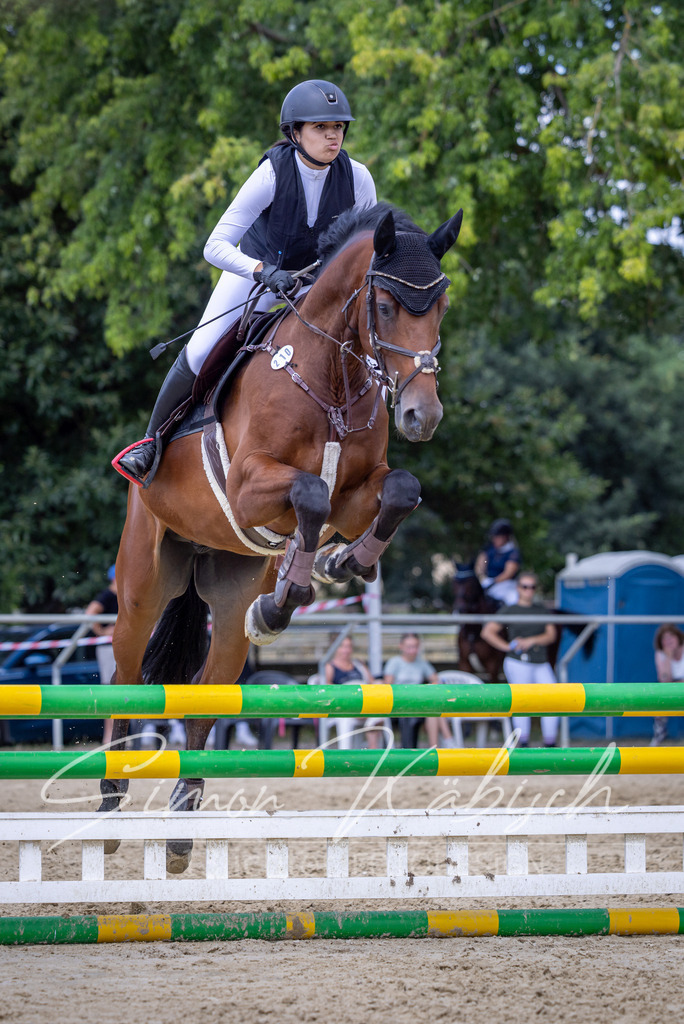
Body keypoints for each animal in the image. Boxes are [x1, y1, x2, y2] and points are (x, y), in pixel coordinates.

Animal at [102, 202, 463, 872]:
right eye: (384, 306)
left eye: (442, 306)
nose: (420, 417)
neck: (333, 373)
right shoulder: (250, 485)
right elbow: (309, 494)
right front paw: (299, 589)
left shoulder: (358, 495)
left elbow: (398, 489)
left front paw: (340, 565)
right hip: (143, 582)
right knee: (125, 676)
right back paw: (110, 806)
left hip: (227, 589)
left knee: (209, 690)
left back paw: (181, 831)